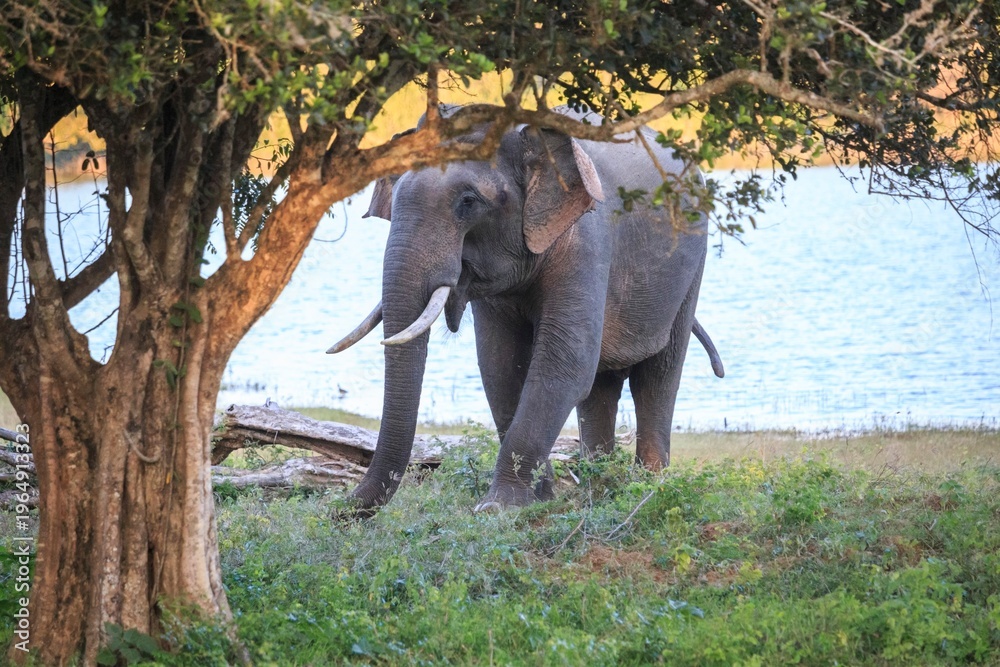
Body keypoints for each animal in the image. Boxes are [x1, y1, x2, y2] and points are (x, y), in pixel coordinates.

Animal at [329, 107, 724, 513]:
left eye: (468, 201)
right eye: (395, 198)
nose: (341, 507)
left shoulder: (588, 240)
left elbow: (563, 365)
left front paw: (497, 508)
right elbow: (500, 366)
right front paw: (538, 500)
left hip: (693, 268)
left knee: (658, 375)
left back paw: (648, 487)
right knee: (602, 385)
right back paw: (599, 490)